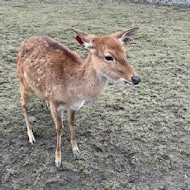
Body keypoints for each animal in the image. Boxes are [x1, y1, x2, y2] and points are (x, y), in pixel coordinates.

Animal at [17, 26, 140, 166]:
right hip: (24, 82)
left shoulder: (73, 106)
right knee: (23, 105)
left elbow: (72, 123)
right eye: (108, 57)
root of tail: (23, 42)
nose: (136, 79)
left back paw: (44, 105)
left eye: (124, 52)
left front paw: (75, 148)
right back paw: (31, 137)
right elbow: (59, 128)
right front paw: (58, 159)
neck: (73, 93)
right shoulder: (55, 103)